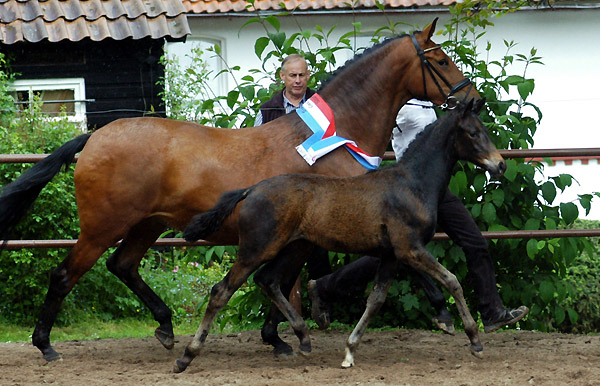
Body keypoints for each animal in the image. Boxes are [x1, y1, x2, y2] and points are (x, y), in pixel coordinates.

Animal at [1, 18, 478, 362]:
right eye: (440, 60)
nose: (473, 98)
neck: (335, 134)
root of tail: (95, 137)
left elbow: (285, 282)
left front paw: (283, 336)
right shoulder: (326, 230)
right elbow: (286, 281)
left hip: (147, 225)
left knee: (123, 266)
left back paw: (166, 327)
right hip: (103, 227)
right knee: (66, 275)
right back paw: (45, 345)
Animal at [180, 97, 504, 370]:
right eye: (473, 133)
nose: (500, 164)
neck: (411, 184)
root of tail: (252, 189)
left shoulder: (391, 255)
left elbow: (375, 301)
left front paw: (349, 351)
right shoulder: (410, 249)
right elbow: (452, 282)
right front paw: (474, 340)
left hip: (294, 247)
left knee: (267, 280)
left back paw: (304, 338)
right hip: (255, 249)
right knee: (221, 291)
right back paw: (187, 355)